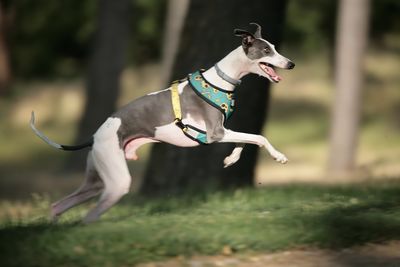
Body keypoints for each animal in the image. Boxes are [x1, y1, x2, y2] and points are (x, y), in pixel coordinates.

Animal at [30, 23, 294, 224]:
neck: (220, 80)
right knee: (89, 215)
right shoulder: (216, 133)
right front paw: (278, 156)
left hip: (96, 180)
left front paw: (231, 159)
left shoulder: (221, 131)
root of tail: (94, 137)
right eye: (266, 50)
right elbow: (258, 137)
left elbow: (246, 140)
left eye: (274, 48)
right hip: (116, 181)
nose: (290, 64)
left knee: (59, 204)